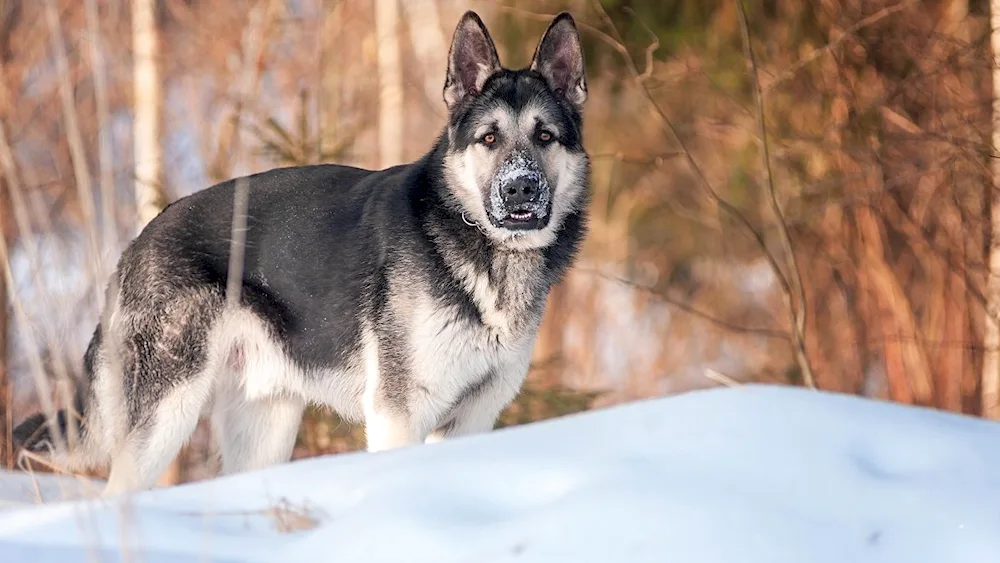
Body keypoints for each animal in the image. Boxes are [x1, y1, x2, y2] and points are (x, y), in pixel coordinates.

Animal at [11, 11, 588, 496]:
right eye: (489, 138)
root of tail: (137, 242)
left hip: (264, 429)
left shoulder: (474, 420)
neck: (476, 242)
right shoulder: (400, 415)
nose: (520, 190)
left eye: (544, 136)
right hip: (167, 416)